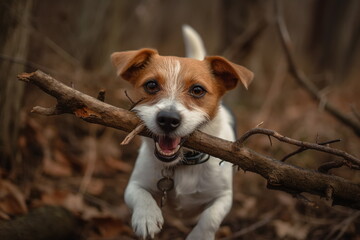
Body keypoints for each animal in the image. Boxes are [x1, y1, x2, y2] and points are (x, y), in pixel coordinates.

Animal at [109, 25, 253, 239]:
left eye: (198, 90)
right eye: (151, 85)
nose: (168, 119)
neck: (183, 163)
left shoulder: (224, 196)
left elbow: (211, 218)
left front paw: (199, 236)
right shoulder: (135, 183)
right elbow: (139, 194)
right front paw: (146, 216)